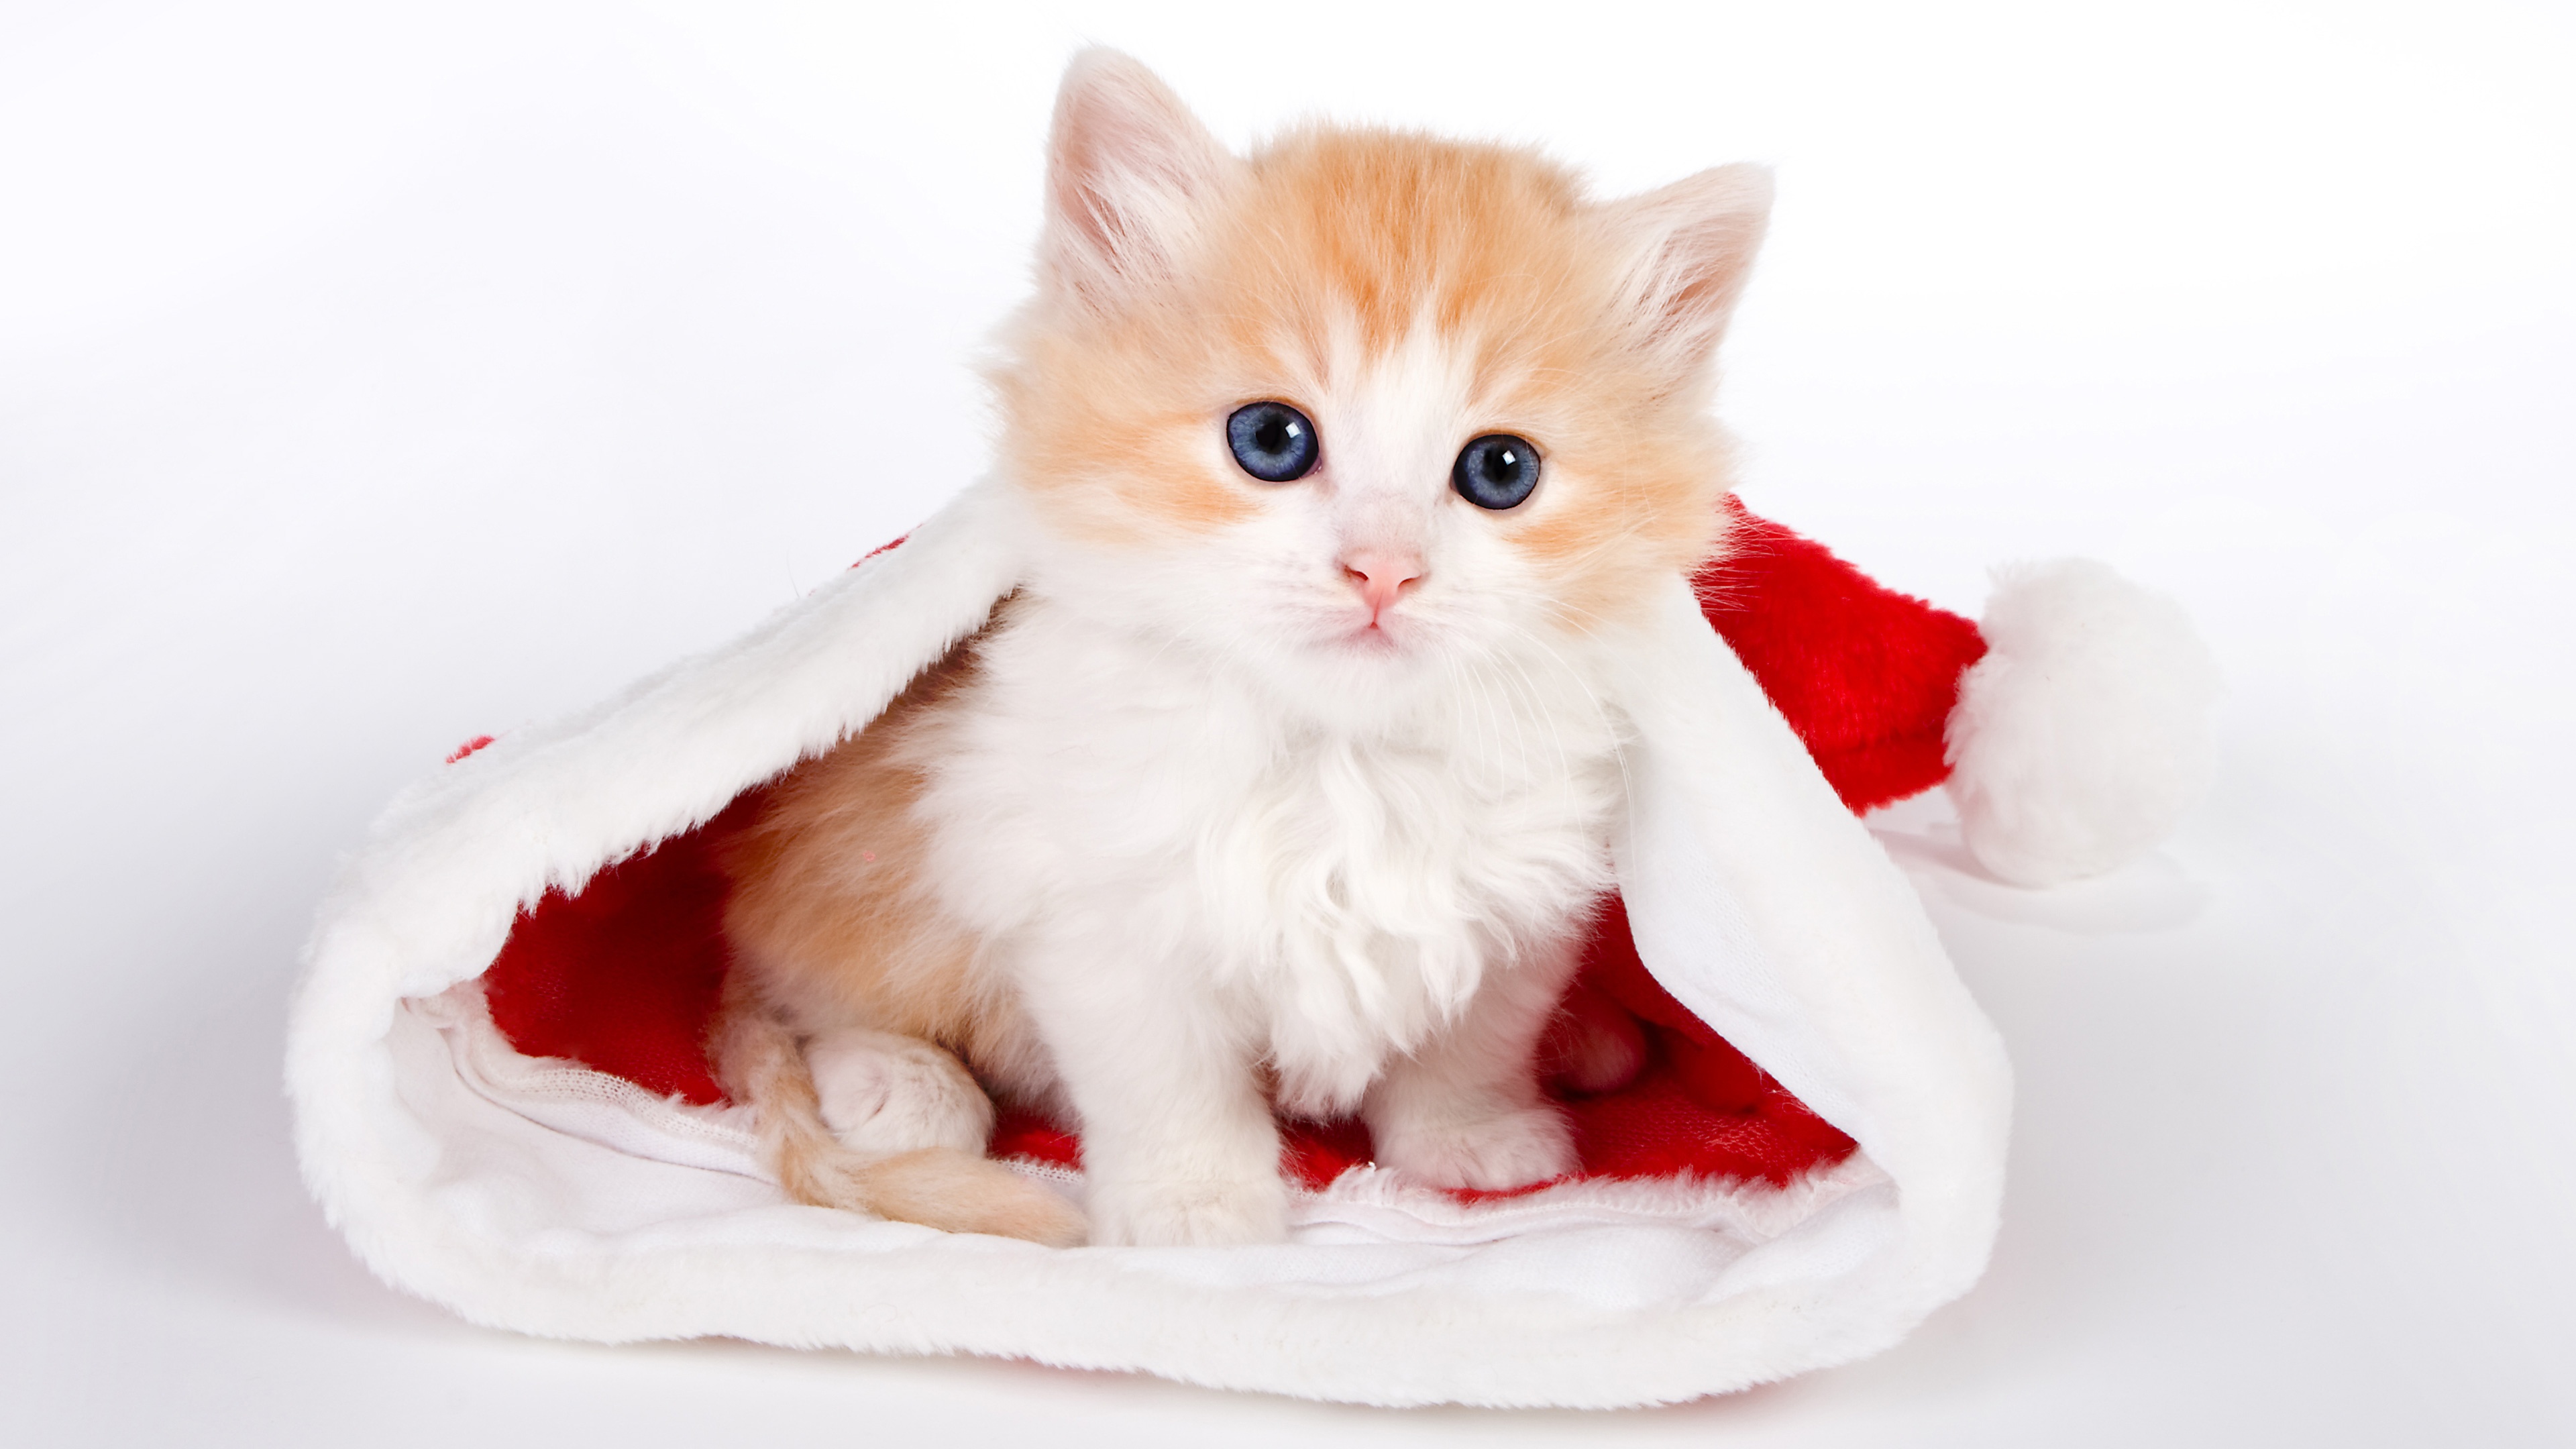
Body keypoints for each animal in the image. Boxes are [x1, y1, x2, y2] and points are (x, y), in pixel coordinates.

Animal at [721, 50, 1772, 1248]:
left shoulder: (1518, 905)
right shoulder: (1086, 898)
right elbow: (1166, 1079)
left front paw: (1471, 1136)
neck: (1344, 764)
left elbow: (1471, 1034)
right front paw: (1195, 1204)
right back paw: (898, 1084)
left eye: (1501, 470)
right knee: (805, 996)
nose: (1382, 570)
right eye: (1271, 440)